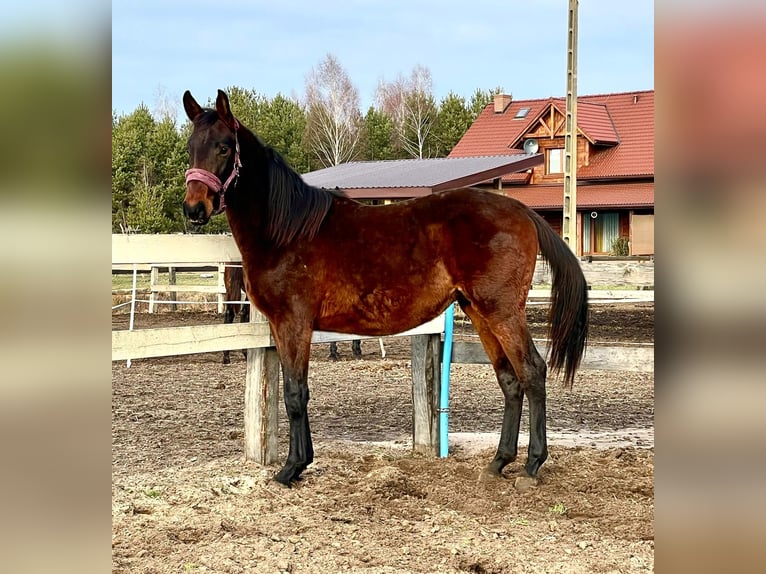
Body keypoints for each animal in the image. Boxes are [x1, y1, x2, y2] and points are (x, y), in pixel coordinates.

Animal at [183, 91, 592, 490]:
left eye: (224, 147)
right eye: (190, 147)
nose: (194, 208)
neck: (287, 230)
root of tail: (522, 212)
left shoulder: (293, 323)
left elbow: (295, 393)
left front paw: (291, 468)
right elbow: (296, 390)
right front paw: (301, 461)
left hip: (502, 311)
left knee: (532, 372)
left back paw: (532, 465)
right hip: (478, 310)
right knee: (509, 379)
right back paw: (498, 462)